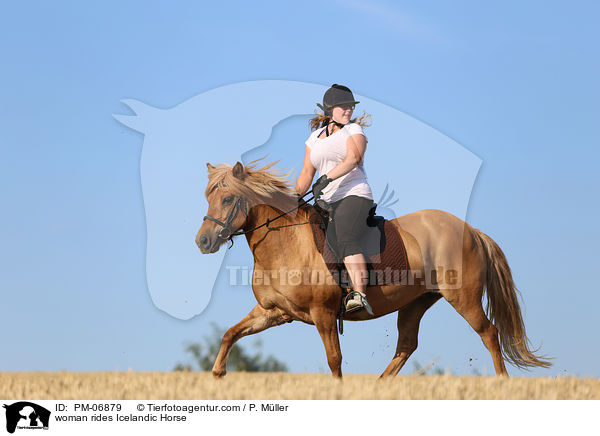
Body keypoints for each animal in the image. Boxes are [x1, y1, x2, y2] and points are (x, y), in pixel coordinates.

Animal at [195, 160, 552, 378]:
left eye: (228, 199)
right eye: (207, 197)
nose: (203, 241)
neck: (286, 242)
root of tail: (471, 230)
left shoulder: (323, 315)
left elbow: (334, 360)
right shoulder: (274, 312)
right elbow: (230, 334)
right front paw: (217, 375)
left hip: (463, 298)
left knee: (489, 333)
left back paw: (502, 382)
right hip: (416, 302)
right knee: (406, 346)